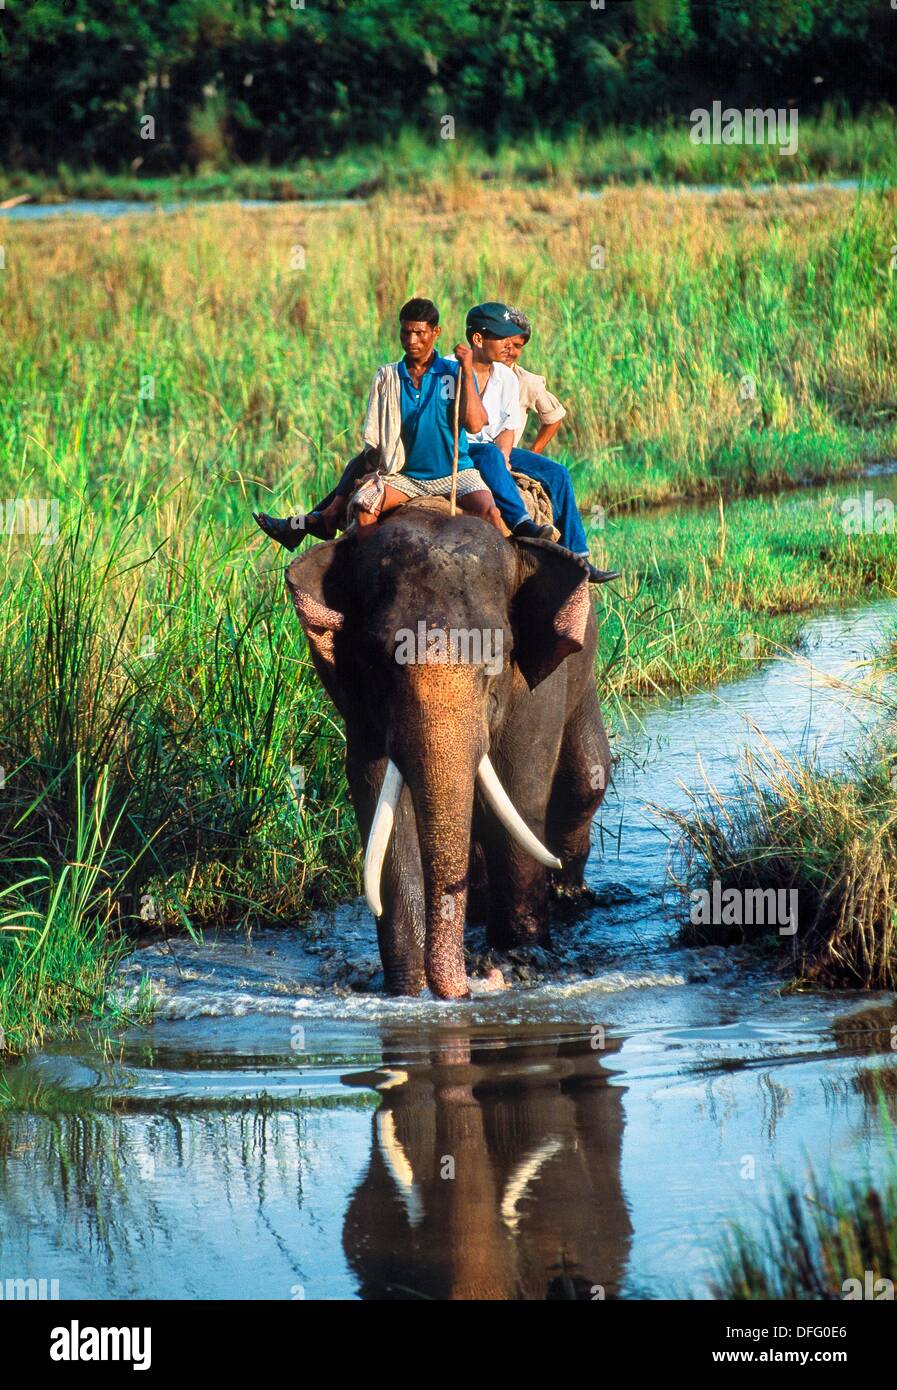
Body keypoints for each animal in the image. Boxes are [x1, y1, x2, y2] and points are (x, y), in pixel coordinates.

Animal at [285, 503, 613, 999]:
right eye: (378, 659)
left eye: (496, 656)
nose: (474, 984)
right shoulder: (353, 693)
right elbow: (376, 793)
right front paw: (406, 990)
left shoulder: (536, 687)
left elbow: (520, 791)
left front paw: (521, 955)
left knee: (586, 779)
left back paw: (568, 894)